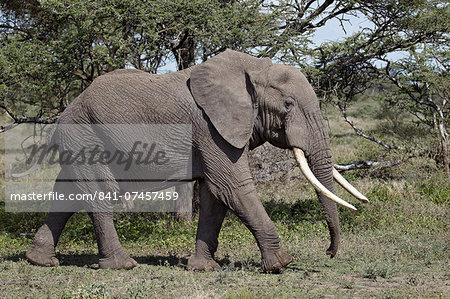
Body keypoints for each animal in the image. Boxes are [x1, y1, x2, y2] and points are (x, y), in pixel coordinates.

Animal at [22, 49, 368, 274]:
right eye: (287, 105)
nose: (328, 252)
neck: (253, 69)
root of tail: (68, 108)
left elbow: (215, 194)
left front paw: (203, 268)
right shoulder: (210, 127)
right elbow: (234, 188)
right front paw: (282, 264)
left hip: (80, 137)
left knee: (68, 192)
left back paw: (41, 261)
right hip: (85, 134)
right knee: (98, 191)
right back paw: (122, 265)